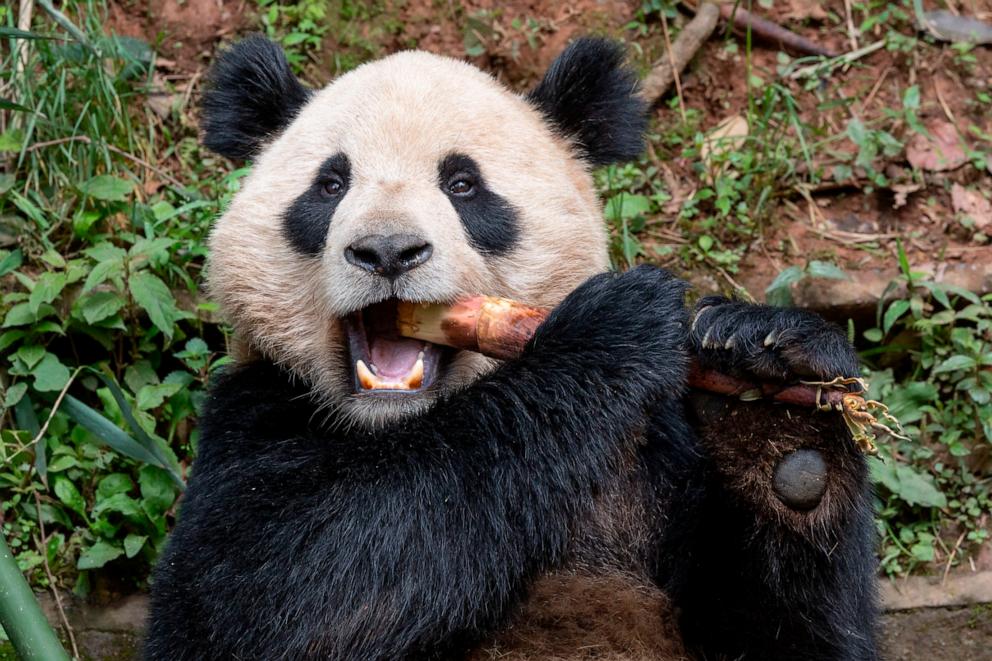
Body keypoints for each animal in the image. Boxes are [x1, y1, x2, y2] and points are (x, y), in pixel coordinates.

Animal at [141, 34, 876, 660]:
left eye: (463, 184)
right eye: (330, 184)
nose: (386, 251)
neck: (399, 427)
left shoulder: (655, 459)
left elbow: (793, 636)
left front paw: (772, 394)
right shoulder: (252, 414)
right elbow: (285, 593)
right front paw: (611, 327)